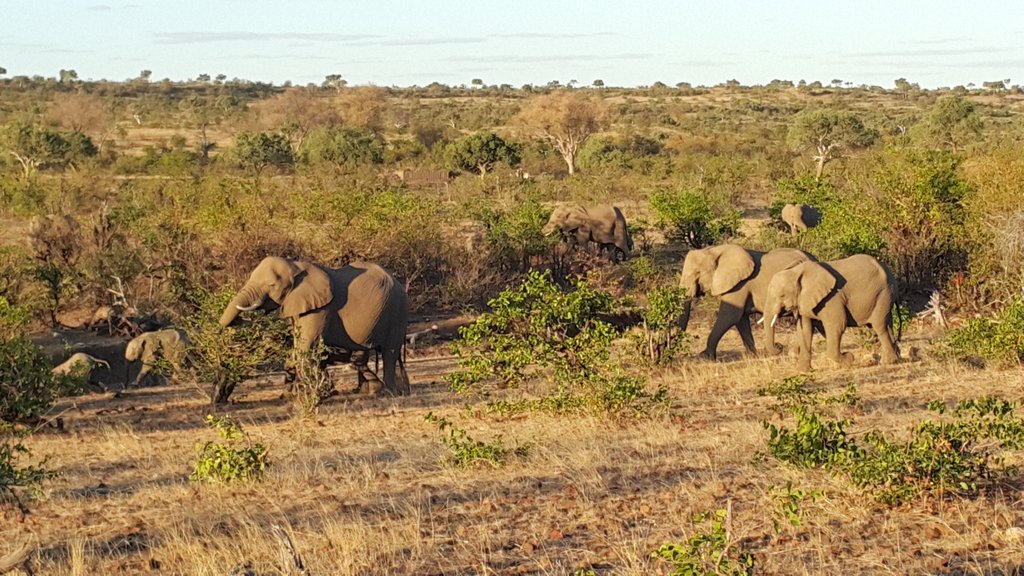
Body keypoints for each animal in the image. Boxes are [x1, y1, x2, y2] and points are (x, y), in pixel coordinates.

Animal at [218, 256, 410, 398]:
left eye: (271, 285)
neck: (296, 267)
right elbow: (299, 349)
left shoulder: (321, 308)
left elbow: (306, 346)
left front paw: (311, 395)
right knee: (363, 356)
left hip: (397, 311)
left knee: (389, 352)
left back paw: (388, 393)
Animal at [679, 244, 814, 359]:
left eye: (697, 273)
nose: (779, 345)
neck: (715, 250)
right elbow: (740, 319)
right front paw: (752, 356)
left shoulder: (740, 285)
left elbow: (729, 316)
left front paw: (705, 357)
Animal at [762, 254, 899, 371]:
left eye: (782, 295)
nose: (779, 345)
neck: (797, 271)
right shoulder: (804, 300)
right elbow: (804, 330)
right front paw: (803, 371)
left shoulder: (832, 297)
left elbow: (836, 325)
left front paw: (848, 359)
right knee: (888, 325)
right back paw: (897, 358)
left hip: (883, 294)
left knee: (879, 326)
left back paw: (887, 362)